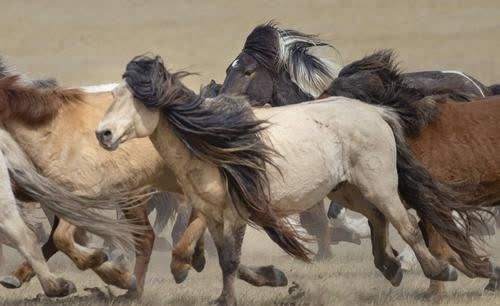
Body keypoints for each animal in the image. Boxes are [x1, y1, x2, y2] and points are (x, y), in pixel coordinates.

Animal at [95, 53, 490, 304]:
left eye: (140, 100)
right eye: (113, 97)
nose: (103, 133)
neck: (210, 146)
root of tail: (377, 112)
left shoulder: (234, 213)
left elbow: (230, 259)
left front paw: (232, 296)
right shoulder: (212, 213)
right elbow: (224, 256)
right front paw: (262, 281)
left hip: (379, 185)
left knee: (406, 224)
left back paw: (439, 271)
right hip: (346, 191)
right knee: (378, 220)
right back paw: (391, 267)